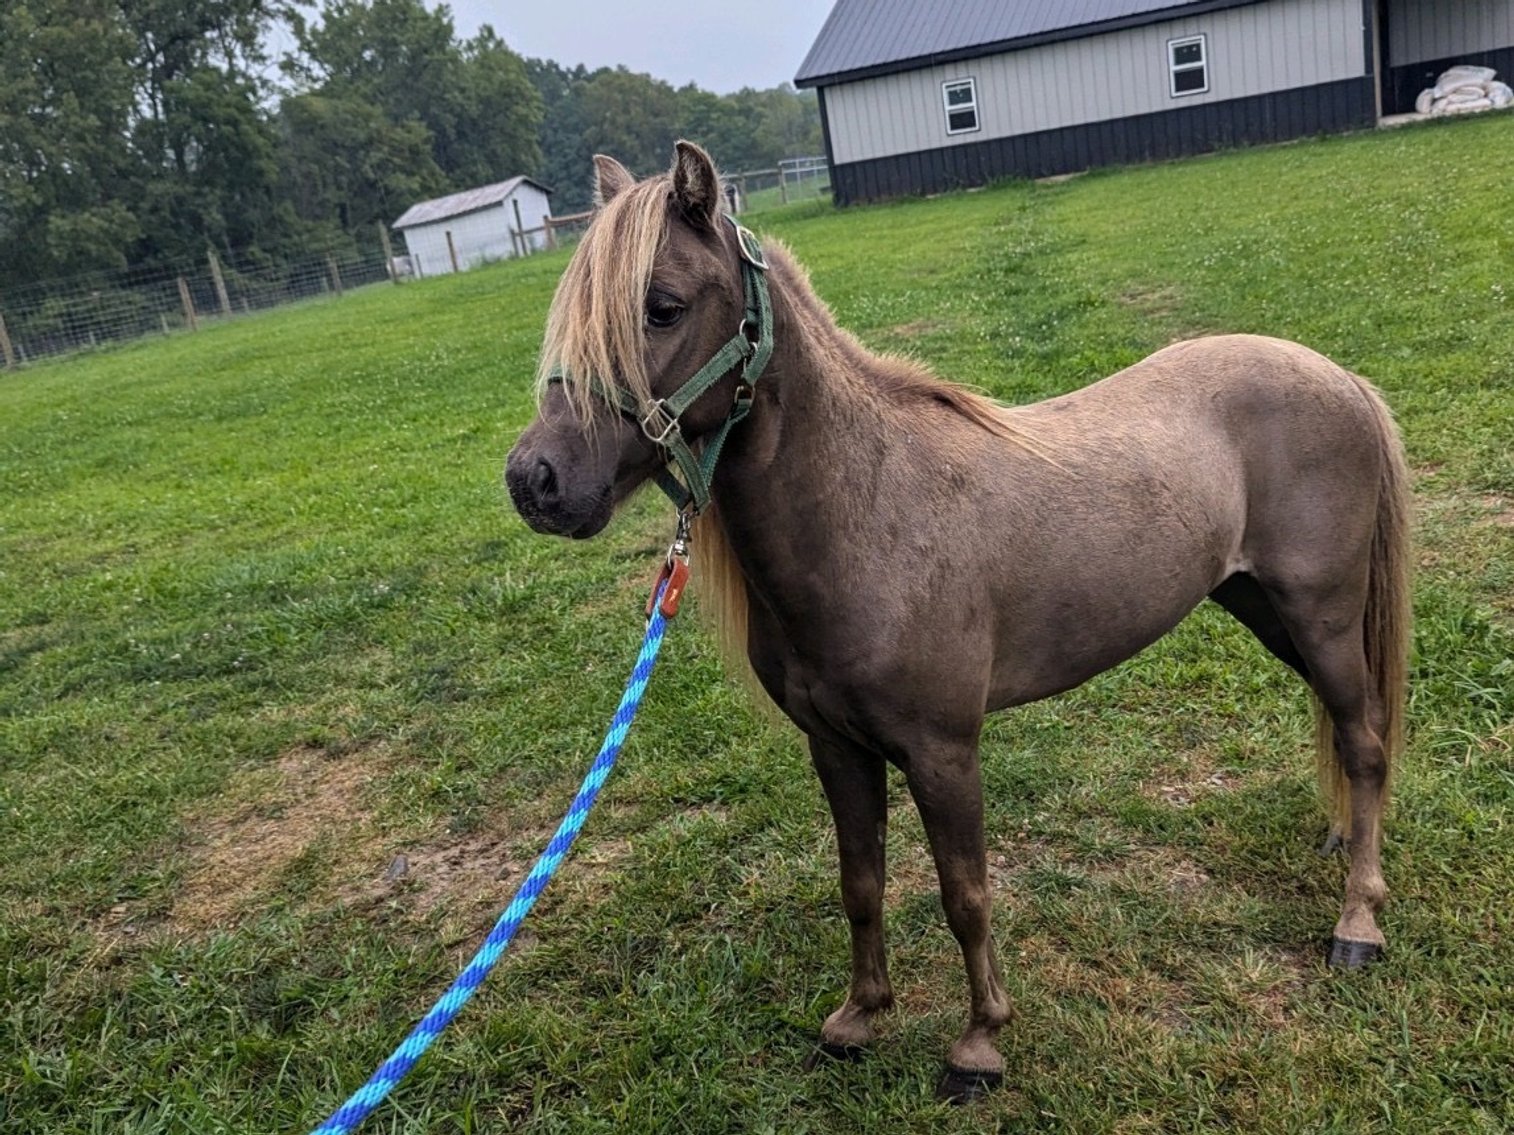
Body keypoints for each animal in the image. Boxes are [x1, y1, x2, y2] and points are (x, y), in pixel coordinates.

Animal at [505, 141, 1411, 1101]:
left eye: (663, 306)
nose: (535, 481)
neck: (870, 513)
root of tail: (1340, 377)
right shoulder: (837, 748)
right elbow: (861, 881)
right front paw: (859, 1016)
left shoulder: (944, 752)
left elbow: (965, 894)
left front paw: (979, 1043)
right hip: (1267, 611)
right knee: (1348, 728)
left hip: (1321, 614)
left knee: (1365, 741)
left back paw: (1358, 920)